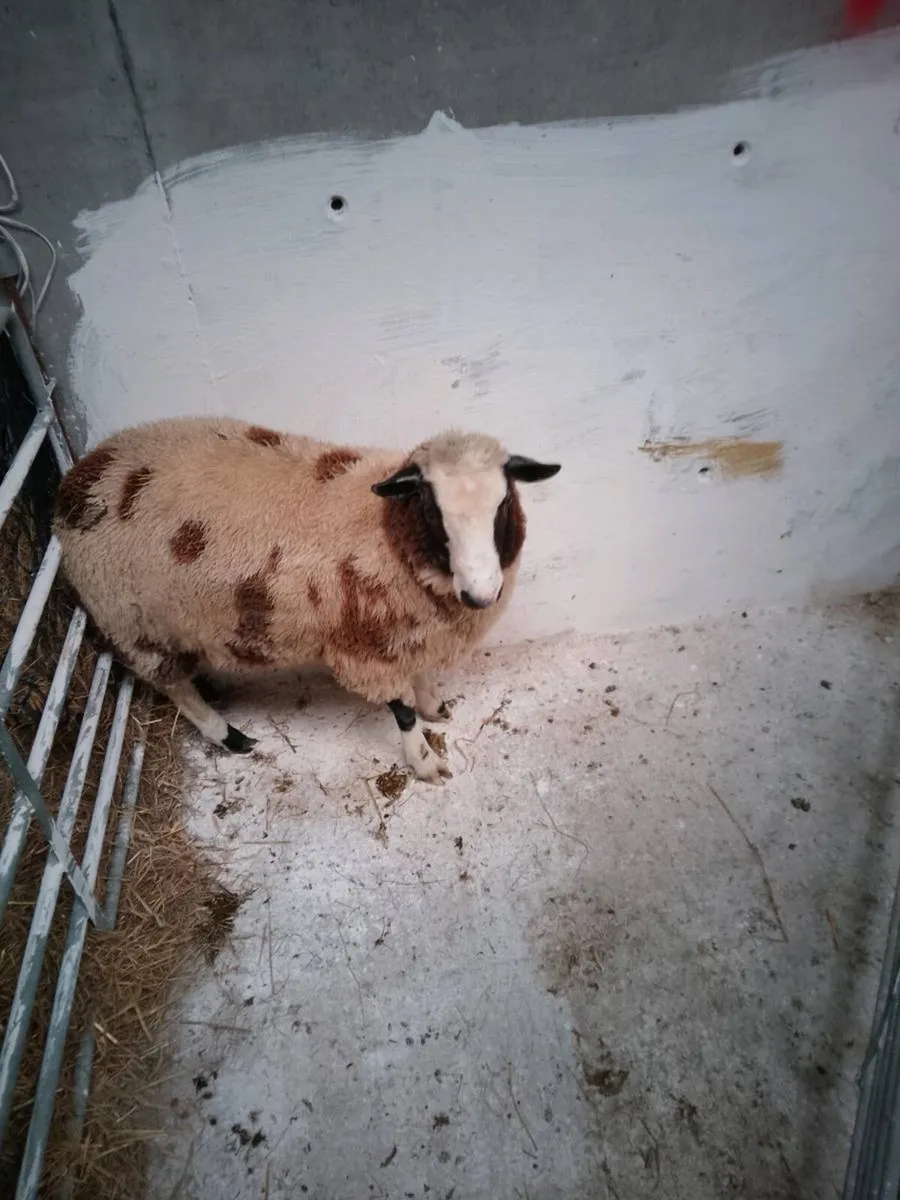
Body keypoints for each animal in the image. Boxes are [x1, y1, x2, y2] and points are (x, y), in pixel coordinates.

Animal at [53, 417, 560, 783]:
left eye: (503, 504)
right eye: (433, 511)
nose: (480, 593)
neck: (386, 531)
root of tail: (77, 481)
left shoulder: (405, 629)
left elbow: (420, 677)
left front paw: (434, 705)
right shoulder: (367, 645)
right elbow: (401, 713)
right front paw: (423, 761)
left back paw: (214, 690)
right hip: (132, 621)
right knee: (174, 688)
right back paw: (228, 735)